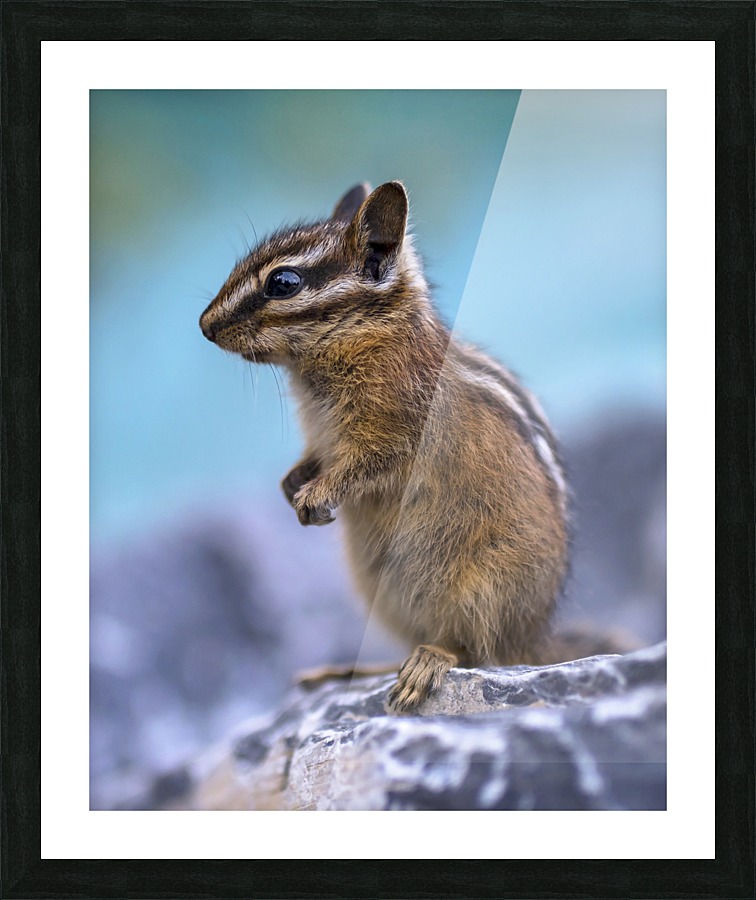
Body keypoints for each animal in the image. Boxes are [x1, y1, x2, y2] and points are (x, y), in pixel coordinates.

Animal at [200, 181, 573, 713]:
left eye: (283, 282)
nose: (204, 325)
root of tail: (535, 638)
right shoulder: (323, 437)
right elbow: (314, 460)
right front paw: (293, 484)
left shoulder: (394, 429)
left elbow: (367, 464)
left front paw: (315, 495)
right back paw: (350, 670)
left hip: (483, 589)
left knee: (475, 650)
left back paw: (426, 664)